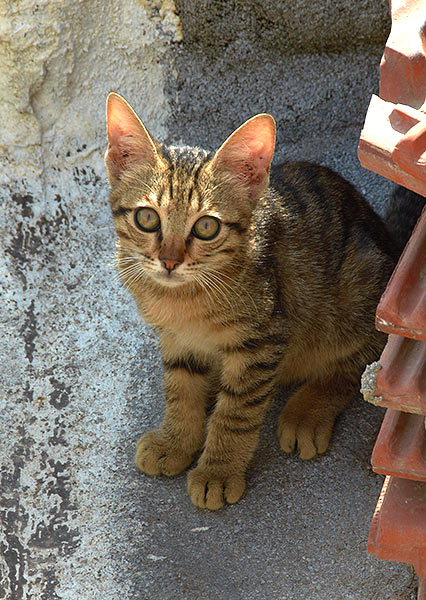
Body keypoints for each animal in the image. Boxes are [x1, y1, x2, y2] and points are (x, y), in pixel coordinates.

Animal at [103, 92, 402, 510]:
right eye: (147, 218)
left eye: (206, 227)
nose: (169, 260)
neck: (182, 300)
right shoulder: (175, 338)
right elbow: (180, 389)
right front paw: (176, 441)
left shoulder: (263, 338)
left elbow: (236, 410)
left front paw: (218, 470)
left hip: (360, 292)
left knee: (366, 366)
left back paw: (306, 412)